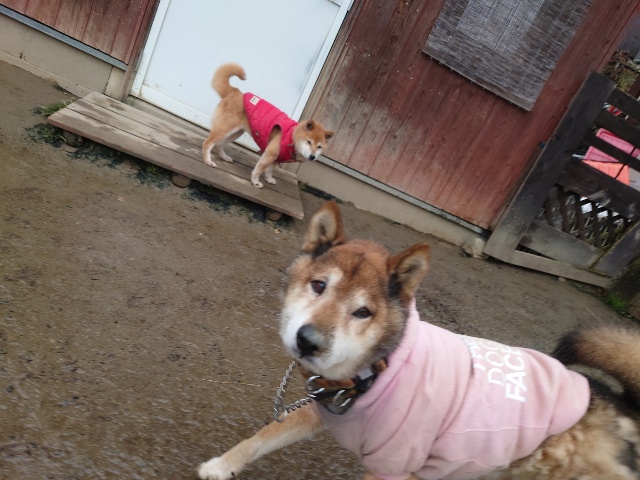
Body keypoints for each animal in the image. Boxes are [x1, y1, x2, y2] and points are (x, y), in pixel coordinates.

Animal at [197, 201, 640, 480]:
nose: (308, 341)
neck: (376, 372)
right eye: (319, 286)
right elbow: (262, 438)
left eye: (363, 312)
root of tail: (611, 397)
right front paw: (221, 465)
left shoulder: (393, 467)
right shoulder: (321, 405)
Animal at [202, 63, 334, 188]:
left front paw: (269, 179)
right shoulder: (270, 154)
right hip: (225, 130)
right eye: (309, 142)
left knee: (219, 144)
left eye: (319, 147)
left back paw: (225, 157)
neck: (292, 136)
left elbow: (270, 170)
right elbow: (259, 170)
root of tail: (235, 92)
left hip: (234, 134)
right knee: (208, 143)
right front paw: (255, 182)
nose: (312, 156)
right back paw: (208, 161)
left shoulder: (277, 158)